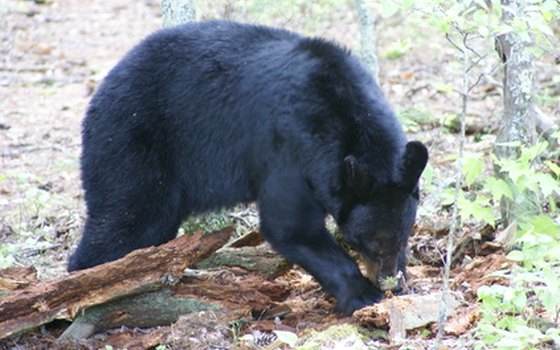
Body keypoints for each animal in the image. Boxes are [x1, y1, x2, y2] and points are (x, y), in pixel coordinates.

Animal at [70, 20, 428, 314]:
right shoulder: (288, 148)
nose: (388, 280)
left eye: (402, 236)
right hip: (131, 144)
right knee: (128, 220)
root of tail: (98, 95)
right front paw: (362, 294)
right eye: (366, 242)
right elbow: (290, 224)